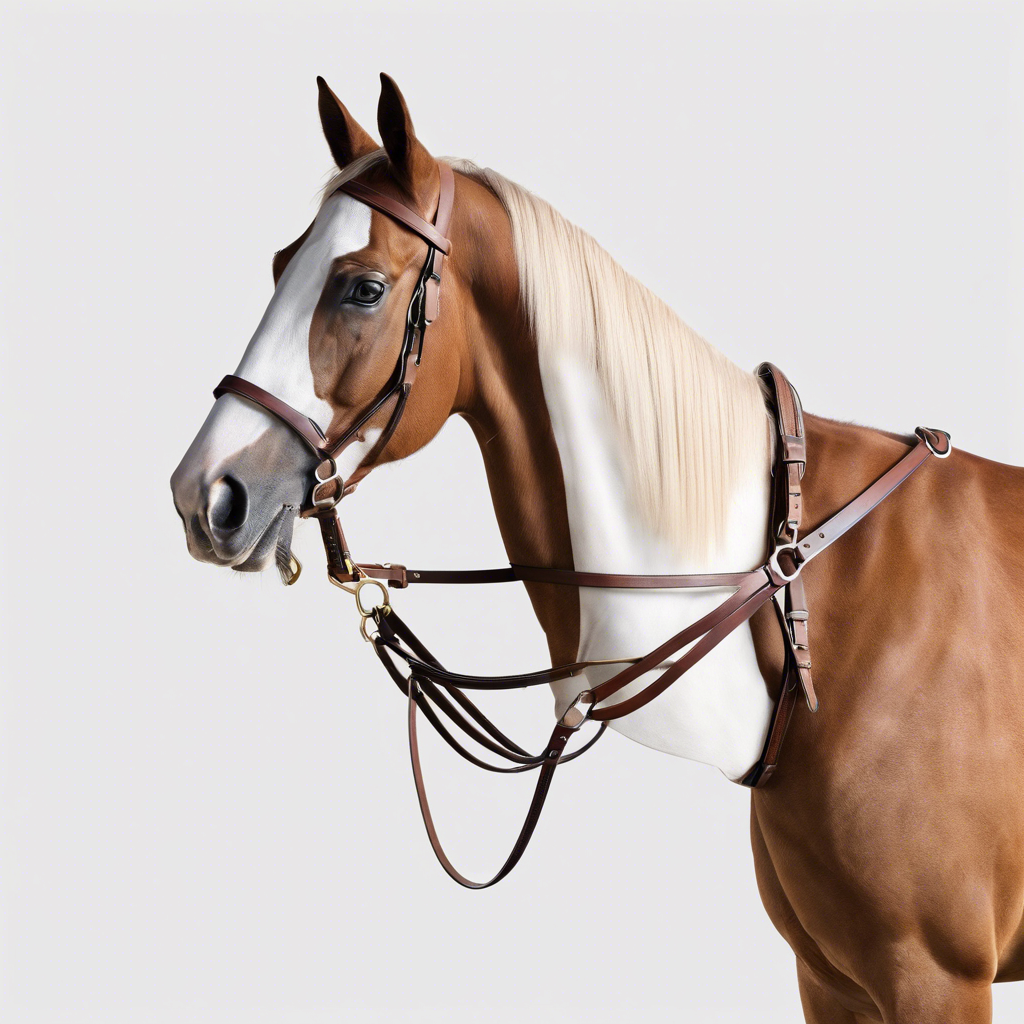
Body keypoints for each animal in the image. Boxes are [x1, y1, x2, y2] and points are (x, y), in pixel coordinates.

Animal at [170, 74, 1024, 1022]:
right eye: (280, 264)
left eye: (361, 287)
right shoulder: (830, 977)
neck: (798, 593)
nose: (206, 493)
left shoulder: (934, 976)